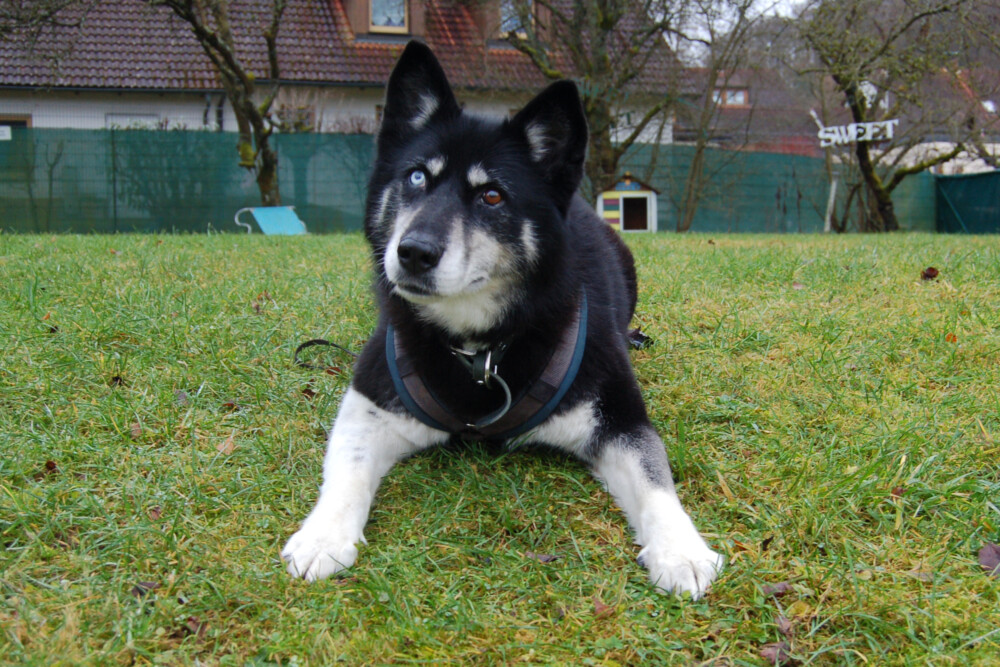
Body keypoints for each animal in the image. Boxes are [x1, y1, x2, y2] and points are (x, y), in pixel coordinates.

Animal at [281, 41, 723, 599]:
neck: (481, 346)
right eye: (416, 176)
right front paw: (323, 535)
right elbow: (346, 468)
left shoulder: (621, 417)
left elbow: (655, 480)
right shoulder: (369, 403)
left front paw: (680, 548)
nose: (413, 253)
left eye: (491, 195)